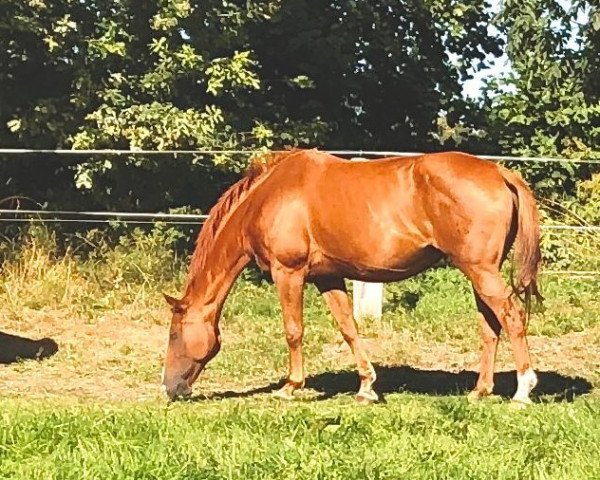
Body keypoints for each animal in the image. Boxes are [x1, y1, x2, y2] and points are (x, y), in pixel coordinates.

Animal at [162, 149, 540, 404]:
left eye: (174, 334)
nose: (170, 388)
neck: (268, 197)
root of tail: (499, 172)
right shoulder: (328, 278)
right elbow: (348, 328)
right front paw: (366, 387)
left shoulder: (289, 273)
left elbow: (293, 331)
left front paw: (290, 386)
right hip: (479, 273)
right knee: (490, 327)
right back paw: (480, 391)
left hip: (481, 271)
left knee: (512, 316)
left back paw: (523, 390)